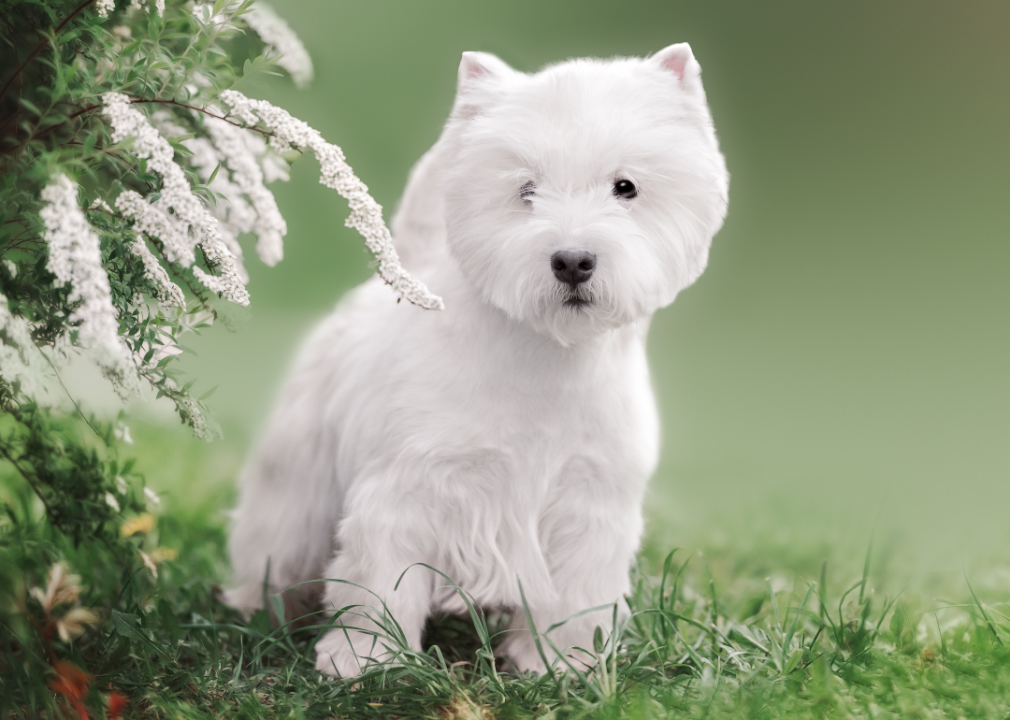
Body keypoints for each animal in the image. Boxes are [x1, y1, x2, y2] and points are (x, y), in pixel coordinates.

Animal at [226, 43, 731, 674]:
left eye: (626, 186)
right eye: (525, 190)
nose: (572, 261)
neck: (548, 357)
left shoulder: (588, 503)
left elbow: (573, 600)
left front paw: (561, 665)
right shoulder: (410, 487)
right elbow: (380, 584)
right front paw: (364, 660)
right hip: (299, 476)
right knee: (277, 543)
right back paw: (256, 606)